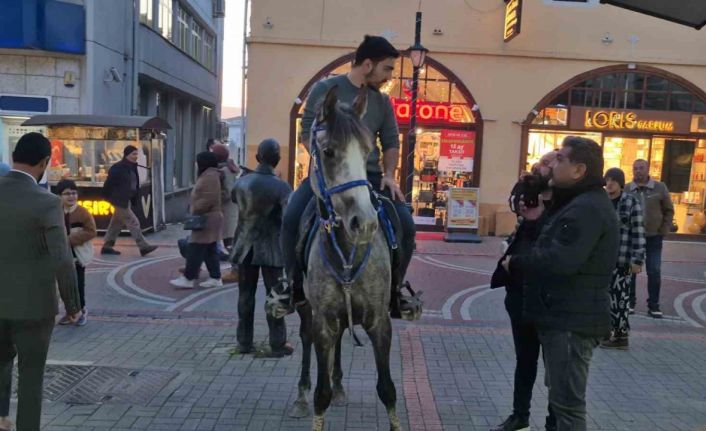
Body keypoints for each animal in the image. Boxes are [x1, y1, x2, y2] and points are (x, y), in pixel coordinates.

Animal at [288, 85, 402, 431]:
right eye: (327, 152)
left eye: (367, 152)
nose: (363, 223)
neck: (349, 252)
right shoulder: (323, 319)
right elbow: (320, 395)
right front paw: (314, 396)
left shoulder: (379, 321)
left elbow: (388, 389)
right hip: (307, 308)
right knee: (306, 339)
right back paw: (300, 395)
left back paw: (339, 385)